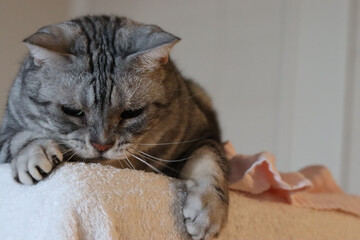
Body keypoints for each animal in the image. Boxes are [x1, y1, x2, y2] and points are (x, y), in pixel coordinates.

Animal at [0, 15, 229, 240]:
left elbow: (209, 161)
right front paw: (35, 154)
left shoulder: (204, 134)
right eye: (72, 111)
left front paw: (208, 212)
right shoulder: (5, 131)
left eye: (131, 113)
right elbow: (18, 139)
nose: (101, 145)